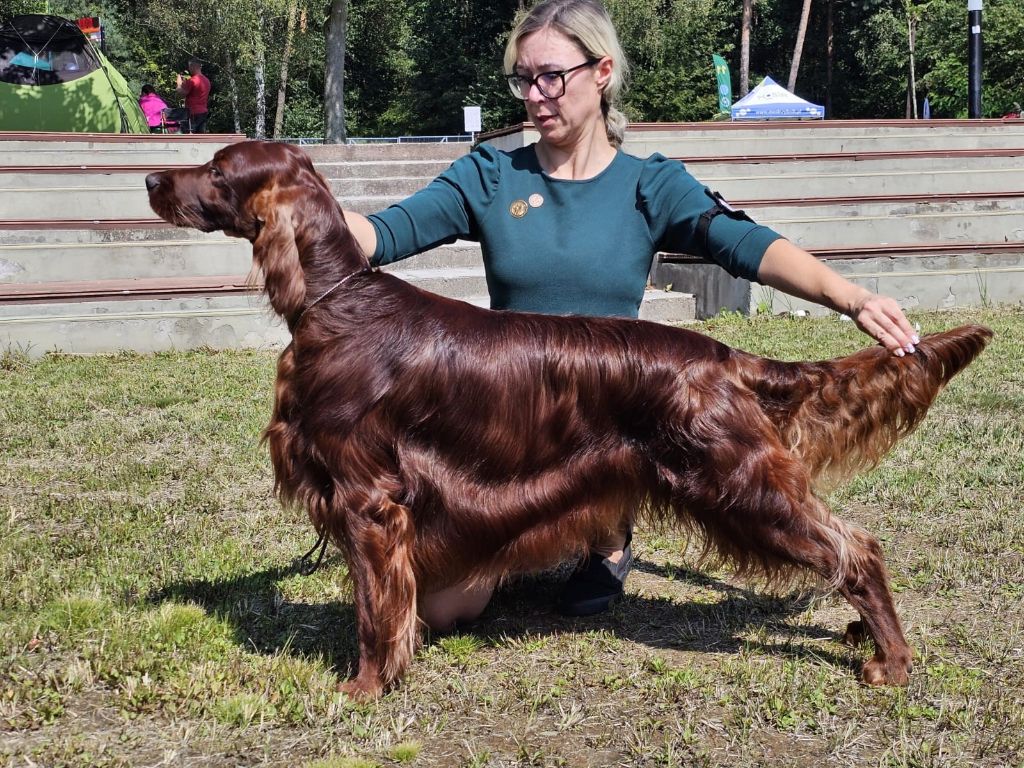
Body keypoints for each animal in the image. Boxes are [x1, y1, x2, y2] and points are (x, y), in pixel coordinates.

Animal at [148, 141, 987, 700]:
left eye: (218, 170)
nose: (152, 178)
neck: (336, 303)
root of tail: (724, 355)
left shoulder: (370, 500)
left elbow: (373, 611)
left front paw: (365, 687)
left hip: (743, 483)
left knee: (857, 550)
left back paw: (891, 660)